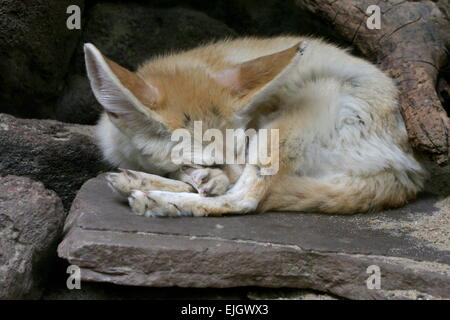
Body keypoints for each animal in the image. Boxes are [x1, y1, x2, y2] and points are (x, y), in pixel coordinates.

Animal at [85, 37, 426, 218]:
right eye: (206, 161)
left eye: (243, 145)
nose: (215, 176)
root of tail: (406, 167)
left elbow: (233, 190)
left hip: (290, 119)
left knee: (246, 199)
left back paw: (163, 200)